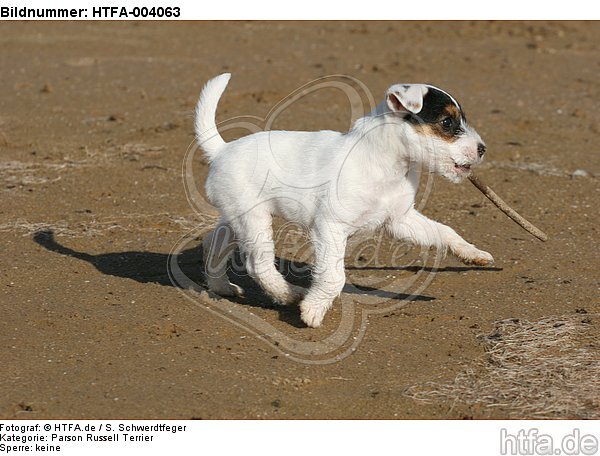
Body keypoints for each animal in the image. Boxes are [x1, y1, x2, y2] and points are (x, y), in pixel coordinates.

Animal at [196, 76, 492, 330]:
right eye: (446, 122)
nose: (482, 149)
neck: (385, 163)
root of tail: (222, 150)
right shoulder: (330, 226)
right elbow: (334, 276)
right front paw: (313, 309)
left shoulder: (400, 220)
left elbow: (445, 231)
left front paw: (471, 252)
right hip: (253, 220)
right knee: (258, 264)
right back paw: (290, 294)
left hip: (236, 218)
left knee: (214, 241)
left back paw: (222, 286)